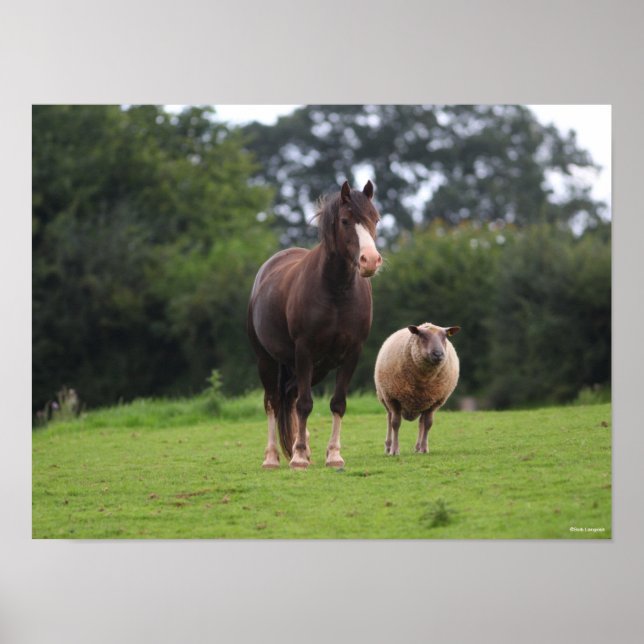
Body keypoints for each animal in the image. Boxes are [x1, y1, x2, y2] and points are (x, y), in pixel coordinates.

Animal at [247, 180, 382, 469]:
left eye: (375, 219)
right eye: (345, 221)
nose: (370, 260)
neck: (336, 291)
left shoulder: (351, 353)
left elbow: (337, 403)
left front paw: (333, 455)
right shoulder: (304, 351)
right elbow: (305, 404)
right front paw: (298, 457)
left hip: (319, 367)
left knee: (289, 395)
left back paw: (303, 446)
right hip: (267, 359)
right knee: (273, 401)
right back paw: (273, 457)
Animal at [374, 322, 461, 455]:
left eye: (445, 337)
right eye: (422, 336)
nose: (438, 354)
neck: (423, 380)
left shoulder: (434, 402)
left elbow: (428, 424)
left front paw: (424, 449)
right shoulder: (393, 398)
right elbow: (395, 423)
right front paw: (394, 450)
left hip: (423, 402)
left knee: (421, 423)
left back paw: (418, 447)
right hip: (384, 397)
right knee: (389, 418)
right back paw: (388, 446)